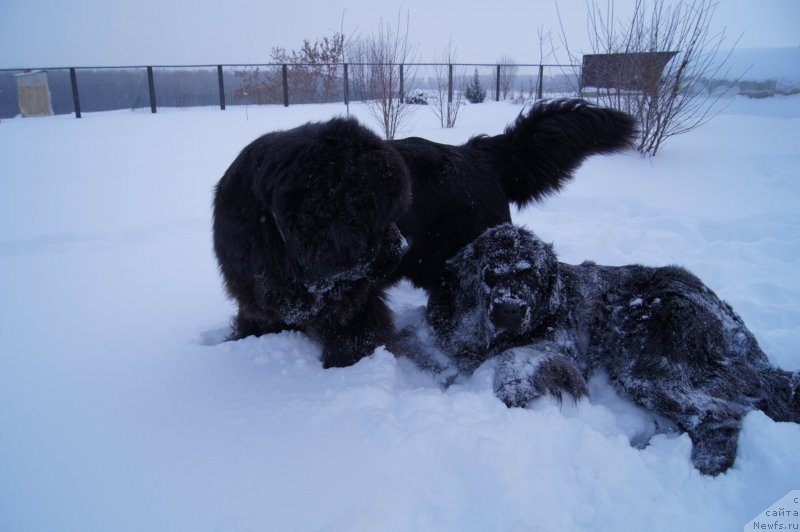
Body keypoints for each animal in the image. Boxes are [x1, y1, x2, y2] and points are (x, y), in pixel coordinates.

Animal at [212, 98, 636, 366]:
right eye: (373, 213)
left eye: (398, 209)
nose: (402, 246)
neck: (284, 247)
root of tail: (478, 154)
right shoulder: (257, 295)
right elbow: (257, 322)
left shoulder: (355, 306)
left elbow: (354, 340)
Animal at [432, 223, 800, 474]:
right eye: (491, 275)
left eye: (530, 276)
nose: (510, 309)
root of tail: (744, 342)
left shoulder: (563, 343)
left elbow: (515, 355)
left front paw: (513, 386)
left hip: (642, 358)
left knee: (718, 416)